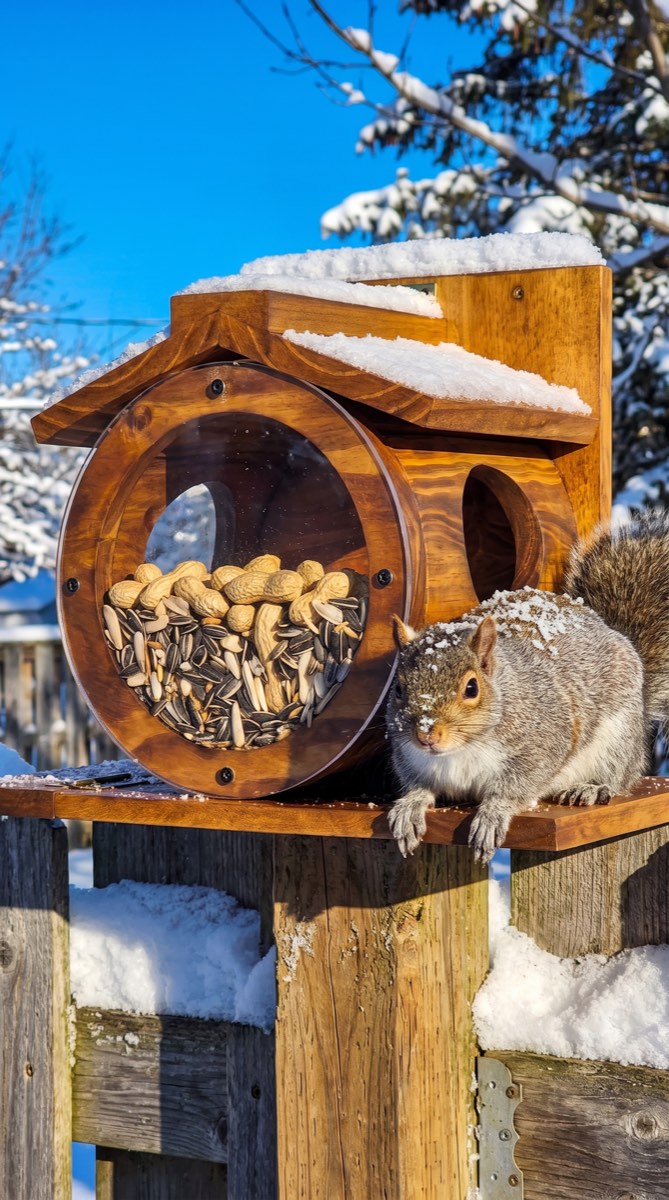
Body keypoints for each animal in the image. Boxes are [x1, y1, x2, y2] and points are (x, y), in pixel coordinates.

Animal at [386, 512, 669, 864]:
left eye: (471, 688)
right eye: (398, 688)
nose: (426, 735)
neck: (461, 750)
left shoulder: (542, 744)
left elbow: (515, 788)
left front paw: (493, 814)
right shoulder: (409, 757)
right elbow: (418, 785)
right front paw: (410, 805)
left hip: (617, 738)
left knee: (620, 776)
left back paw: (590, 787)